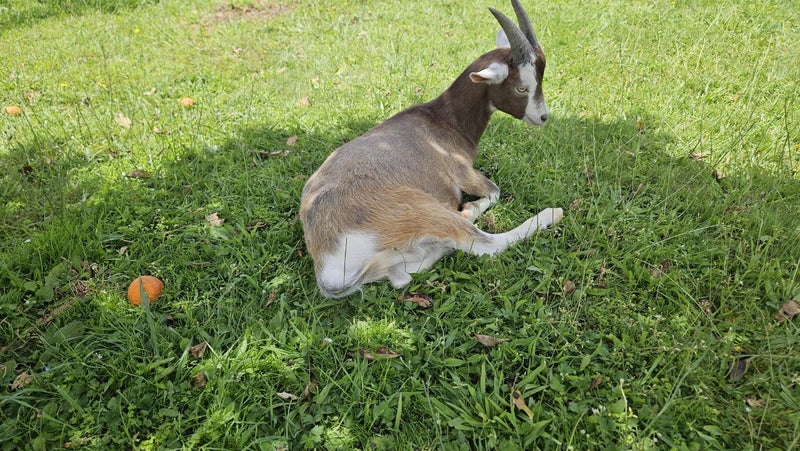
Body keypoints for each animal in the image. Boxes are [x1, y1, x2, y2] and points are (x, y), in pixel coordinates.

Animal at [300, 0, 563, 299]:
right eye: (522, 87)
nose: (543, 117)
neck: (443, 120)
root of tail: (329, 268)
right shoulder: (462, 171)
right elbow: (495, 191)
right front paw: (470, 208)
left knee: (402, 277)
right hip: (426, 212)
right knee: (486, 245)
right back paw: (549, 214)